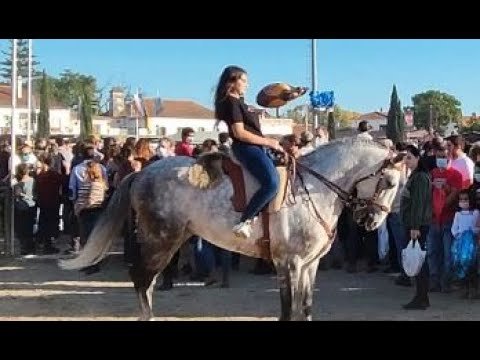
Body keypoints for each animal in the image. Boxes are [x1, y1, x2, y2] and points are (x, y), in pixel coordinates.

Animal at [61, 138, 404, 320]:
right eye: (389, 182)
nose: (373, 222)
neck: (315, 189)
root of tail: (142, 172)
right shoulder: (289, 264)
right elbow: (288, 309)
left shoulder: (310, 264)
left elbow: (305, 307)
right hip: (161, 239)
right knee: (142, 279)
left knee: (146, 281)